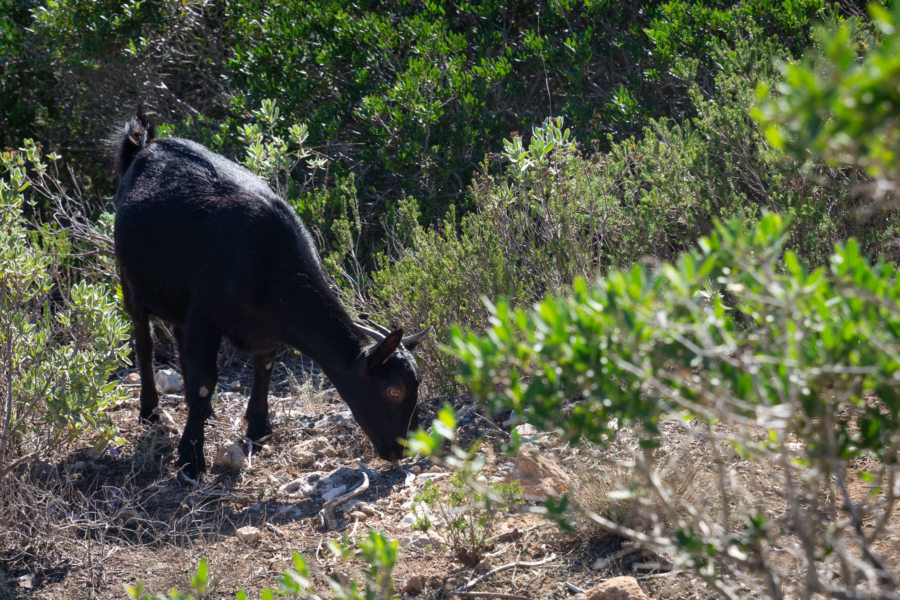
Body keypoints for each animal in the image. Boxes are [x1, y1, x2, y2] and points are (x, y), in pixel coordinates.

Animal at [113, 107, 429, 478]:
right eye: (394, 390)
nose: (402, 449)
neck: (266, 261)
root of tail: (145, 145)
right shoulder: (206, 316)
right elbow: (205, 380)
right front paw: (191, 457)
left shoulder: (259, 331)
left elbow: (263, 367)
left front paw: (259, 429)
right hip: (129, 280)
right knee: (144, 340)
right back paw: (149, 411)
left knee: (178, 338)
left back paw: (206, 413)